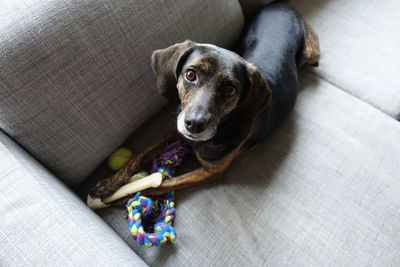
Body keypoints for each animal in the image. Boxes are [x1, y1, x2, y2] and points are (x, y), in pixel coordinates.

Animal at [90, 3, 318, 201]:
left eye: (230, 89)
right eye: (190, 74)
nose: (195, 124)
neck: (223, 125)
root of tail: (282, 5)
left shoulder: (210, 172)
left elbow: (160, 185)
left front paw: (125, 196)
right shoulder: (176, 130)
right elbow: (141, 153)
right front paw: (109, 184)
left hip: (311, 52)